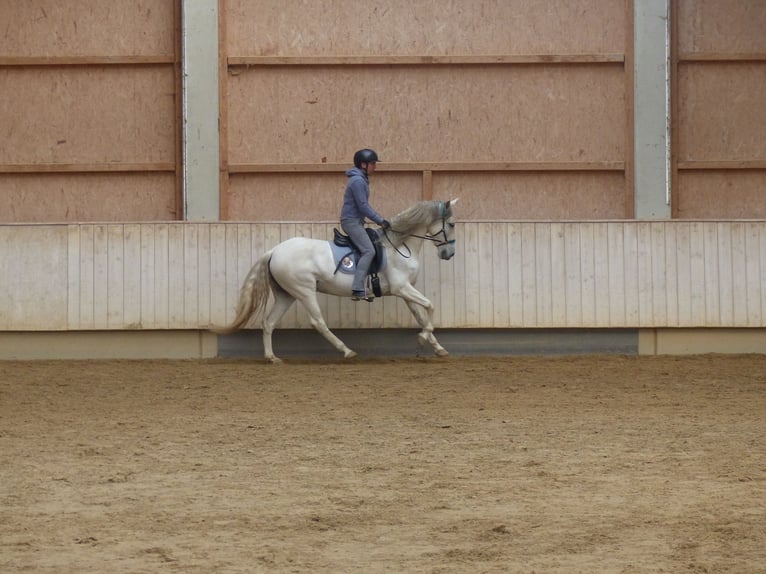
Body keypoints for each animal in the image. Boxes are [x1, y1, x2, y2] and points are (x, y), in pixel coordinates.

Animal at [212, 199, 458, 362]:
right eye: (452, 224)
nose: (449, 254)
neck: (399, 246)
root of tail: (274, 251)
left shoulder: (406, 291)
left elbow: (421, 316)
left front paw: (438, 348)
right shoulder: (403, 288)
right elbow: (430, 306)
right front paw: (423, 338)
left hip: (287, 295)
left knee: (269, 322)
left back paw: (272, 358)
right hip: (304, 291)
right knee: (318, 322)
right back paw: (347, 351)